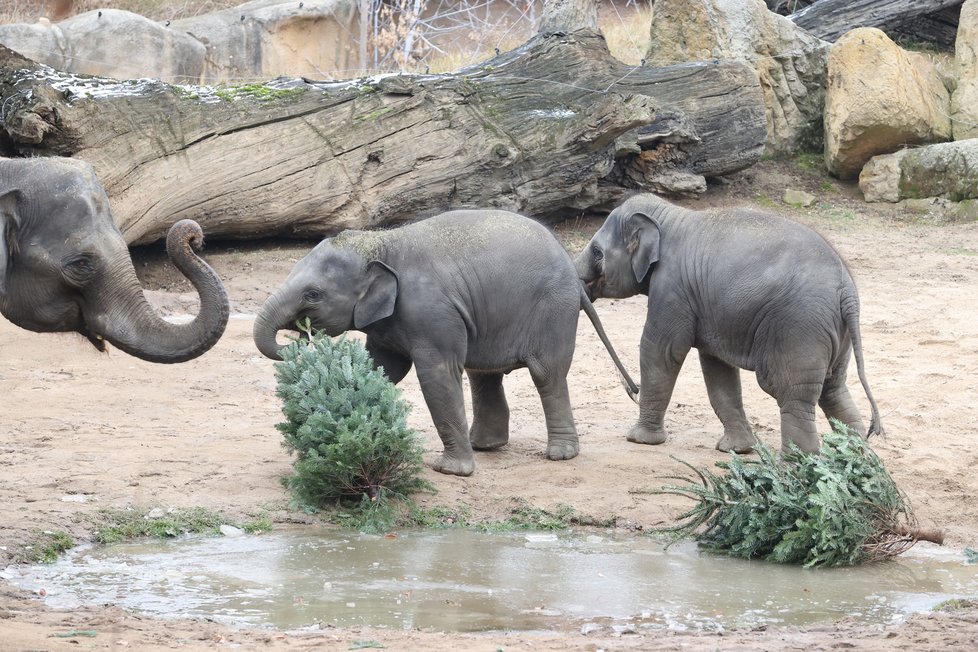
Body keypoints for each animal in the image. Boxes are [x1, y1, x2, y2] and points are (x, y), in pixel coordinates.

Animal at [252, 211, 636, 476]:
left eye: (313, 295)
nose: (302, 335)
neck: (381, 242)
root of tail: (573, 274)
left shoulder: (431, 311)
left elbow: (436, 375)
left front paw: (451, 471)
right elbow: (384, 368)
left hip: (553, 310)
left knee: (547, 375)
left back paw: (560, 455)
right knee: (485, 374)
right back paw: (485, 446)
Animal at [576, 191, 880, 454]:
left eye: (597, 252)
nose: (633, 390)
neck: (669, 216)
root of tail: (846, 289)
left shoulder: (672, 288)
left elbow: (661, 351)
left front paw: (639, 440)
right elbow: (716, 367)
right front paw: (737, 449)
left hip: (799, 326)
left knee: (793, 393)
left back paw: (795, 466)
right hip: (837, 333)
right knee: (834, 390)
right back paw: (859, 461)